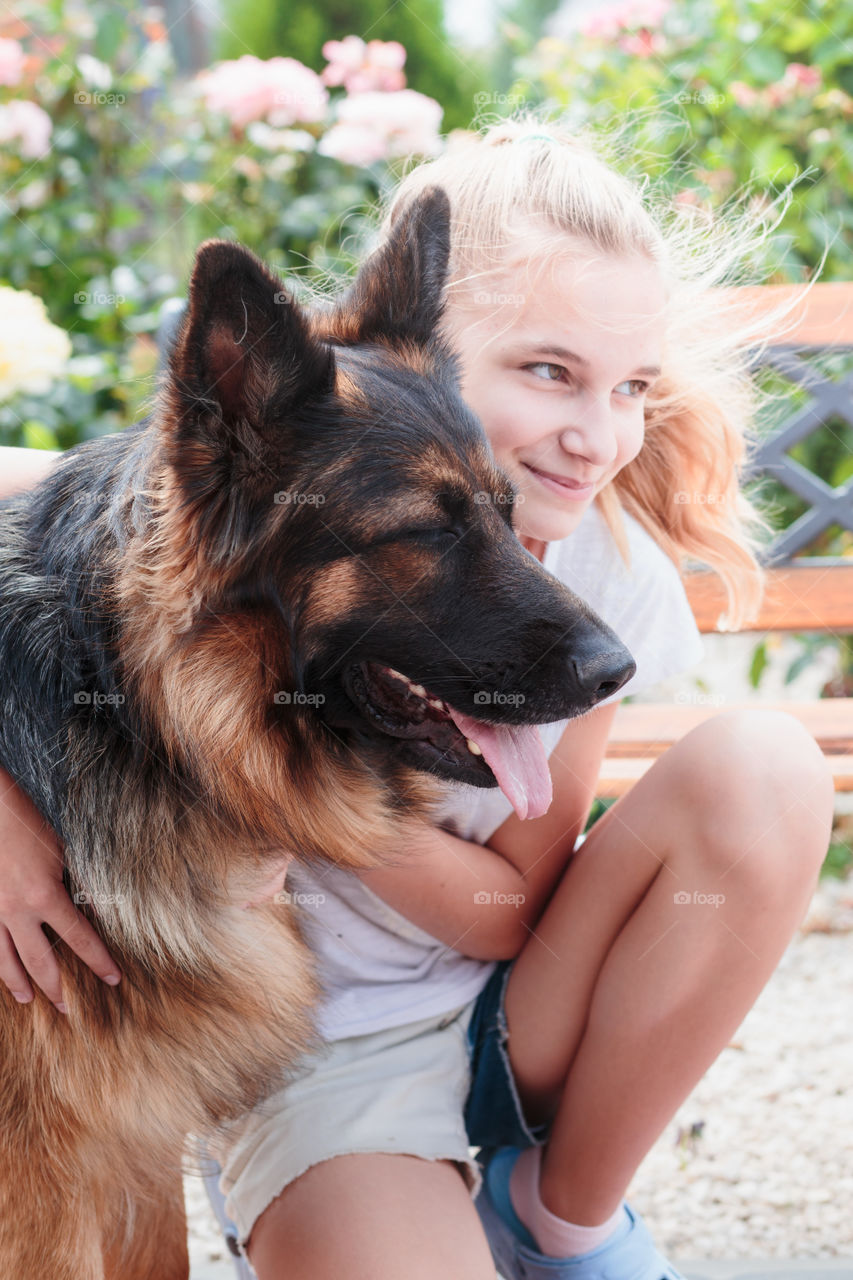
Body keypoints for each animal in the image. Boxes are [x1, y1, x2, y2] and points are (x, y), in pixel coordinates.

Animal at [0, 185, 630, 1274]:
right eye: (425, 529)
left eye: (507, 512)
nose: (618, 672)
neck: (129, 717)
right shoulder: (51, 1169)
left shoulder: (124, 1142)